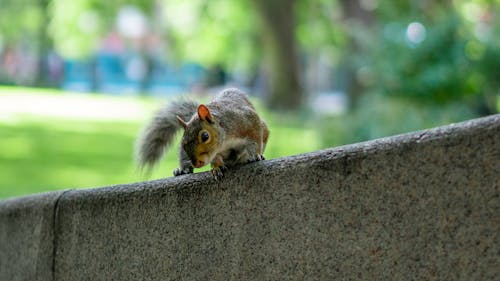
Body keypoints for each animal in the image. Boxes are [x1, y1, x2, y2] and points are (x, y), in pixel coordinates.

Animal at [135, 87, 270, 179]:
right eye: (183, 143)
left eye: (205, 136)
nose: (197, 164)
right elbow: (216, 158)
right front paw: (216, 167)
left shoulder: (248, 121)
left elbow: (255, 139)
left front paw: (256, 155)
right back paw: (182, 170)